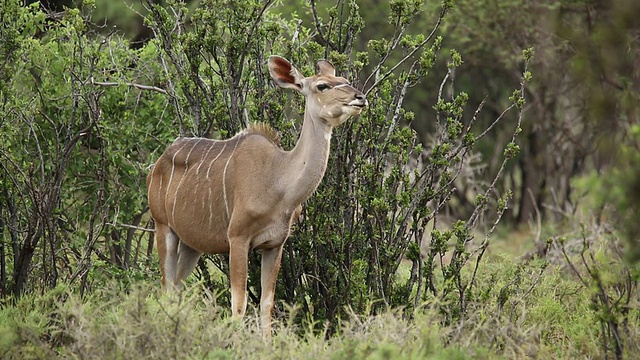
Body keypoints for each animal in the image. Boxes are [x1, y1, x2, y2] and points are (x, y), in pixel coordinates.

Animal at [145, 56, 364, 338]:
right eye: (322, 86)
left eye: (344, 80)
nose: (360, 97)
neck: (279, 179)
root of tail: (156, 165)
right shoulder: (238, 239)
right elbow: (239, 302)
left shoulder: (274, 245)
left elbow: (267, 303)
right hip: (163, 227)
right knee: (167, 286)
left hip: (192, 244)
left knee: (178, 287)